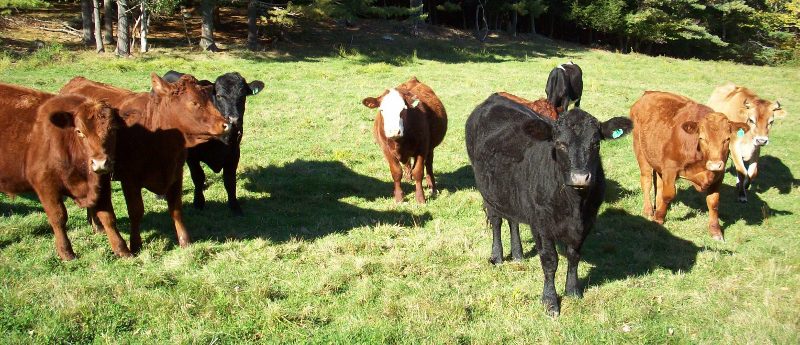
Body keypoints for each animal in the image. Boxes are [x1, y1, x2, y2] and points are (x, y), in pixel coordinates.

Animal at [0, 83, 126, 260]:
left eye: (113, 129)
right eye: (80, 132)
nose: (100, 163)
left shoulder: (103, 183)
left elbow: (108, 216)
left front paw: (122, 249)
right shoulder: (45, 185)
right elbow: (58, 218)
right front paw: (66, 252)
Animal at [61, 73, 230, 253]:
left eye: (211, 101)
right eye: (194, 102)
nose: (226, 124)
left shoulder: (176, 174)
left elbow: (176, 208)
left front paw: (185, 241)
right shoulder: (129, 180)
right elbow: (136, 211)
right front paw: (135, 244)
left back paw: (96, 226)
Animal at [162, 70, 266, 215]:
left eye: (243, 95)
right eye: (219, 95)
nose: (234, 119)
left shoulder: (234, 153)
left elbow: (229, 180)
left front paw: (235, 207)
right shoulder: (192, 156)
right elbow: (198, 177)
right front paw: (198, 202)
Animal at [462, 92, 632, 316]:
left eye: (596, 143)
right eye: (559, 144)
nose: (580, 177)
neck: (575, 206)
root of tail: (493, 98)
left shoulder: (587, 222)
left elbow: (574, 255)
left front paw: (573, 290)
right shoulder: (541, 224)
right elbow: (550, 261)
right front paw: (550, 301)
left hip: (511, 192)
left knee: (513, 220)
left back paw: (518, 254)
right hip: (487, 192)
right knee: (496, 221)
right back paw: (497, 256)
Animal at [632, 91, 752, 242]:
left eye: (727, 139)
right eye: (702, 138)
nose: (715, 164)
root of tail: (648, 93)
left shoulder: (719, 175)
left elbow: (713, 202)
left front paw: (716, 231)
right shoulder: (670, 169)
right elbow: (668, 194)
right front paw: (659, 219)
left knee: (658, 185)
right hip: (641, 153)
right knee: (647, 181)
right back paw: (648, 211)